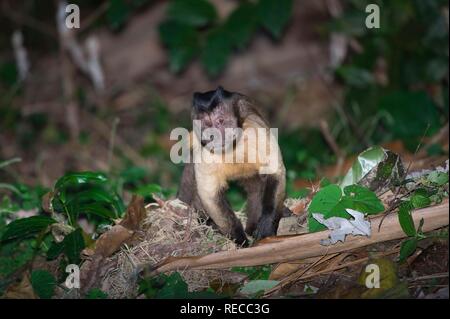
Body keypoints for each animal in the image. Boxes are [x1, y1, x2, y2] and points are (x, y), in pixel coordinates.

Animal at [178, 86, 286, 246]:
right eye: (207, 125)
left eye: (220, 121)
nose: (213, 135)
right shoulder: (205, 149)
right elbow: (210, 195)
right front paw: (240, 240)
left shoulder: (255, 129)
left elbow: (274, 172)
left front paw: (266, 227)